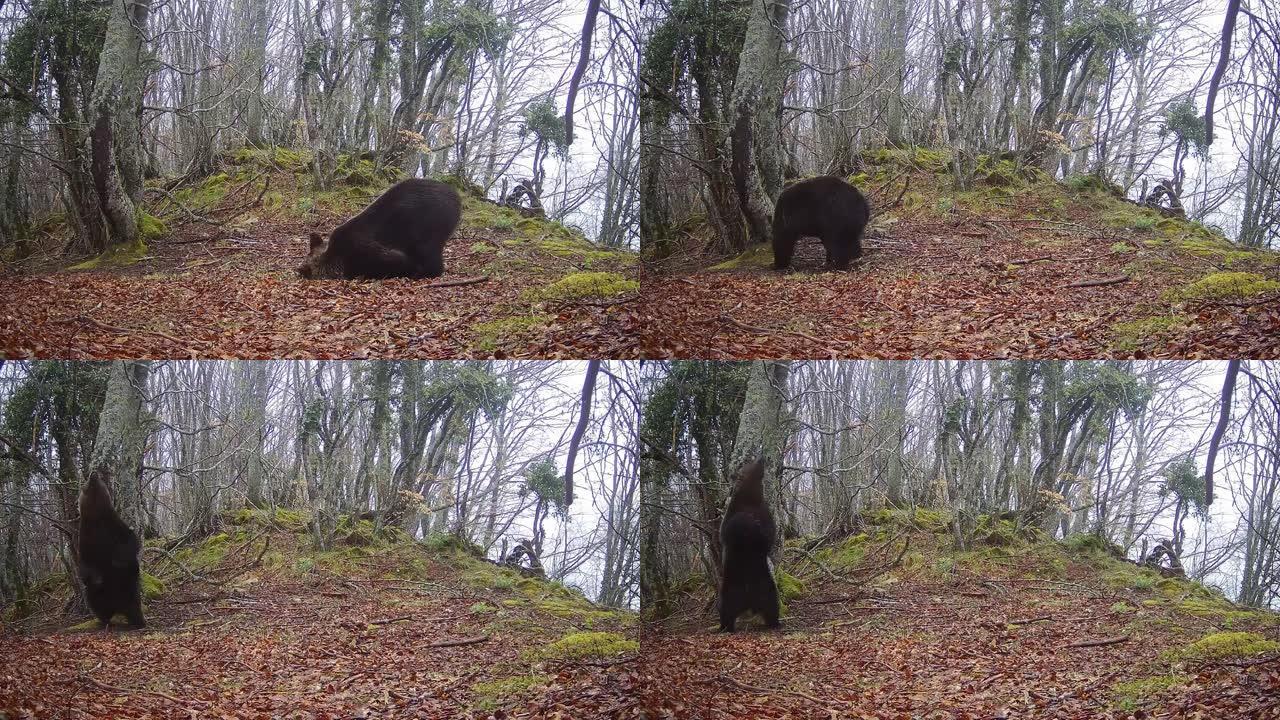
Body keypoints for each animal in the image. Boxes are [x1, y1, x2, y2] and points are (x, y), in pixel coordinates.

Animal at [296, 178, 463, 279]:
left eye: (310, 264)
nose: (301, 268)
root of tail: (457, 197)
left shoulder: (367, 250)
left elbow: (396, 259)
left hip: (429, 228)